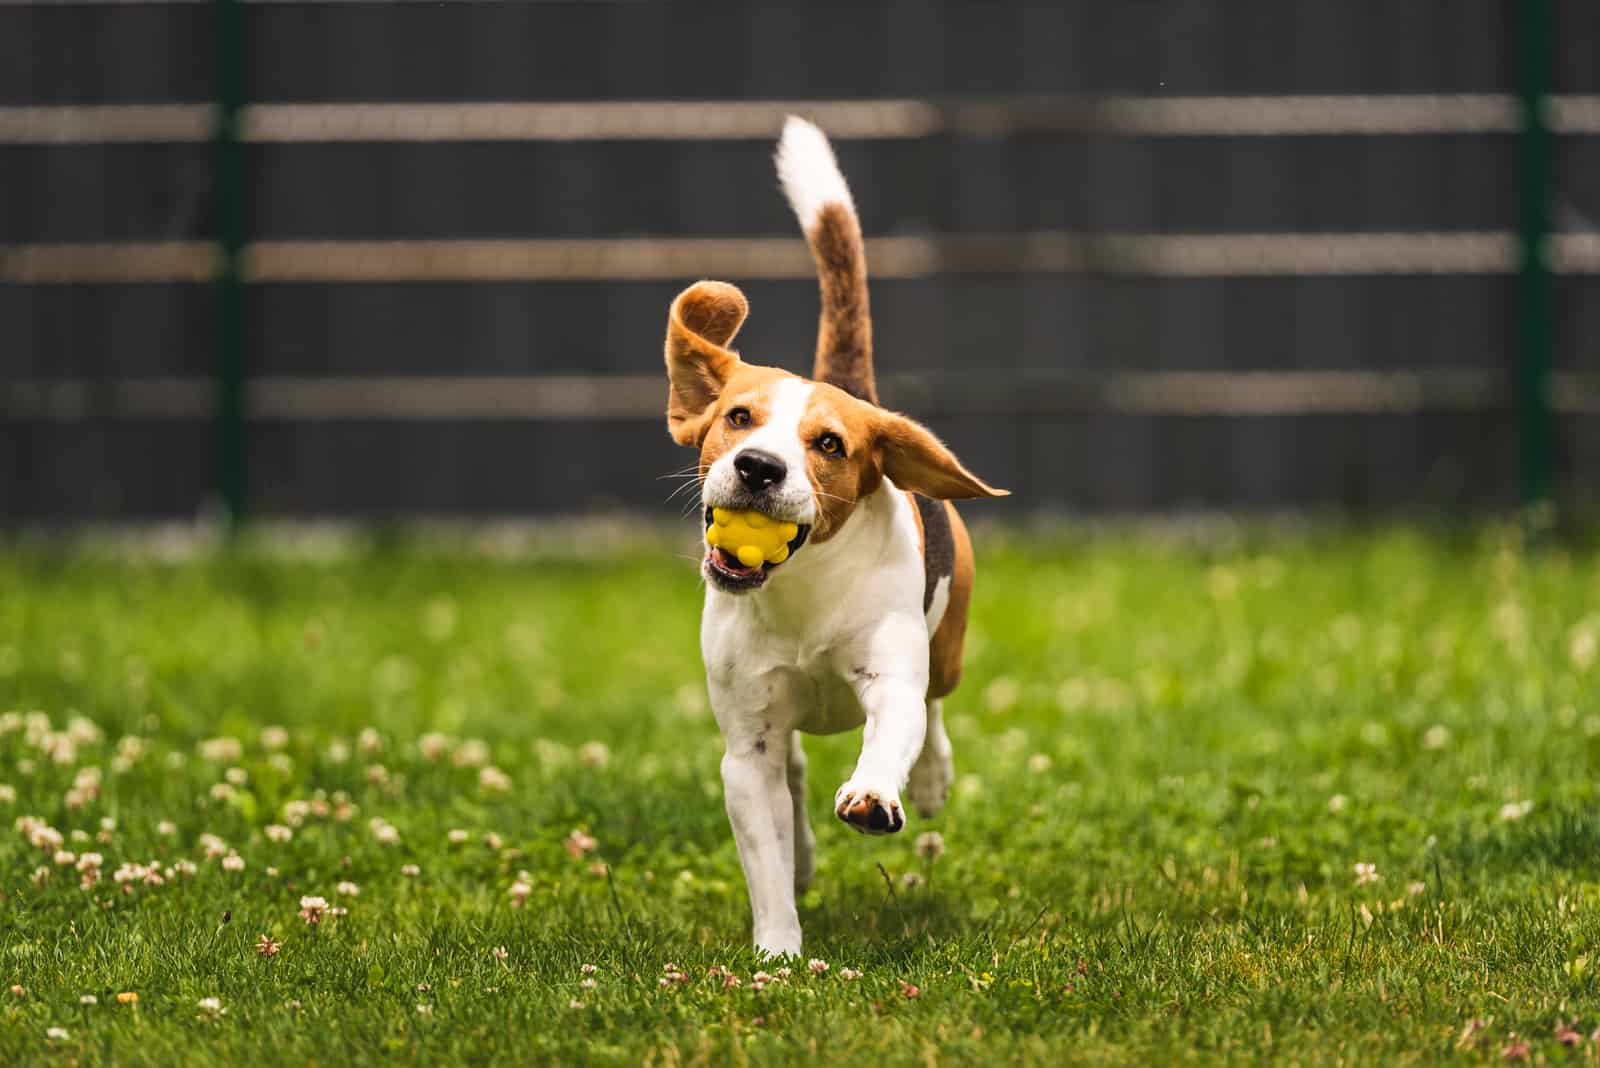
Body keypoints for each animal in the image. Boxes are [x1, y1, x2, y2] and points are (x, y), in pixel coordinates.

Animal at [659, 119, 1004, 959]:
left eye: (829, 445)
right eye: (738, 418)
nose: (757, 468)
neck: (799, 593)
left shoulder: (890, 681)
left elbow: (893, 730)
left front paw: (878, 793)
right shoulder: (745, 749)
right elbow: (766, 852)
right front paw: (778, 950)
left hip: (946, 645)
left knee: (935, 708)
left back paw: (931, 779)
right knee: (794, 777)